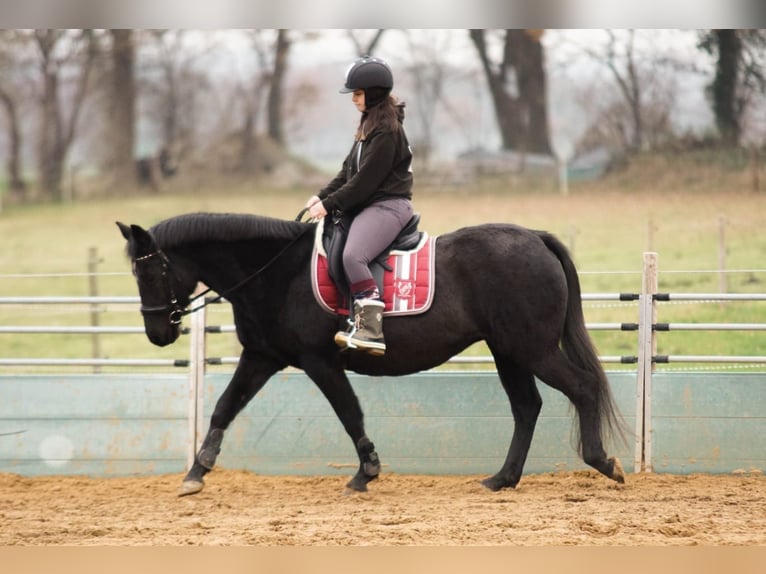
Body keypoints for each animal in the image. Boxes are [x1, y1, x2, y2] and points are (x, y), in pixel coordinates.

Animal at [117, 214, 628, 498]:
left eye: (154, 272)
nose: (157, 333)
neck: (276, 272)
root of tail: (536, 238)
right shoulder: (261, 357)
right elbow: (224, 408)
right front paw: (196, 473)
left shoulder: (320, 361)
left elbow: (349, 413)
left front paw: (366, 472)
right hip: (508, 350)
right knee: (527, 407)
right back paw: (502, 479)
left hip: (532, 347)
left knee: (581, 388)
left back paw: (603, 462)